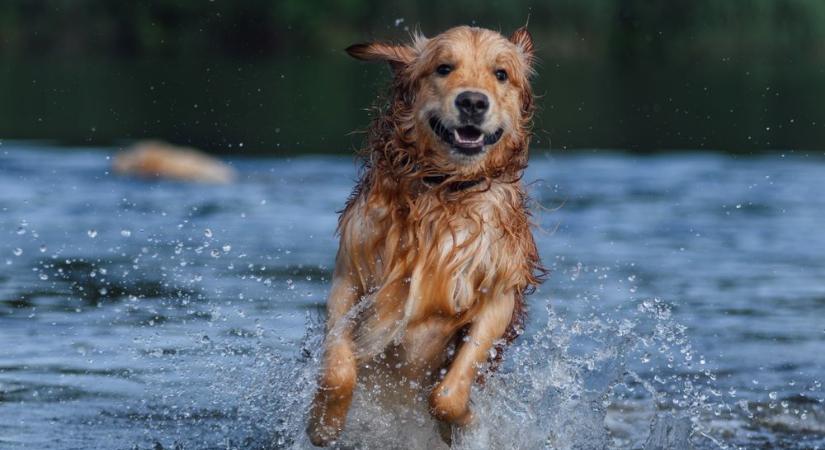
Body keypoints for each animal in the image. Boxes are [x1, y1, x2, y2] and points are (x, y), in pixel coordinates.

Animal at [306, 25, 544, 446]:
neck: (443, 192)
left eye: (501, 74)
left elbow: (447, 394)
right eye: (444, 67)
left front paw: (467, 422)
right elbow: (338, 367)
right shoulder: (349, 278)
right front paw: (323, 425)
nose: (472, 102)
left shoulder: (497, 299)